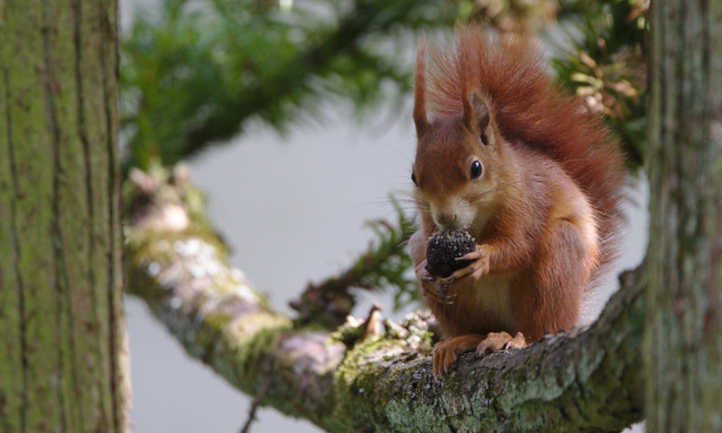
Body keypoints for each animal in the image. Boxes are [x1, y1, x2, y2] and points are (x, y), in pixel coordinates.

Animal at [408, 29, 620, 374]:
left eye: (476, 168)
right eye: (413, 176)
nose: (446, 218)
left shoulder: (529, 201)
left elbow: (520, 245)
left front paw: (484, 258)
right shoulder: (428, 224)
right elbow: (428, 246)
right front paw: (424, 272)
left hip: (557, 262)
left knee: (541, 326)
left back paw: (517, 338)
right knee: (474, 326)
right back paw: (461, 341)